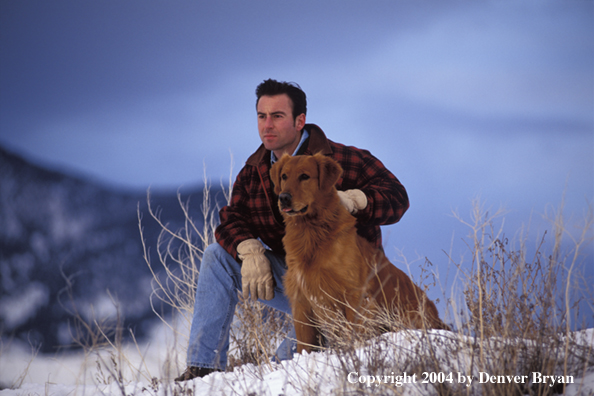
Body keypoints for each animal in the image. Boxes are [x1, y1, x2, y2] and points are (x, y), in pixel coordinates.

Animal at [268, 153, 444, 354]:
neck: (311, 232)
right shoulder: (301, 302)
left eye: (304, 176)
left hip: (408, 315)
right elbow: (305, 345)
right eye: (284, 176)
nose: (283, 197)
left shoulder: (355, 295)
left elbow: (354, 332)